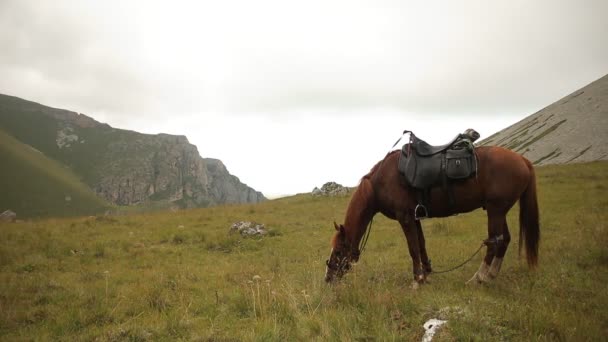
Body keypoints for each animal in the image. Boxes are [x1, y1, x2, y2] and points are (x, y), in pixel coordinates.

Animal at [326, 146, 540, 284]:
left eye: (338, 252)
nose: (328, 278)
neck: (380, 183)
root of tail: (523, 160)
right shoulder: (415, 217)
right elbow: (421, 245)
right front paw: (427, 273)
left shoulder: (405, 218)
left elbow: (412, 248)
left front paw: (417, 279)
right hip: (499, 211)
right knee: (504, 240)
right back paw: (491, 275)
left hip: (495, 211)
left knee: (494, 242)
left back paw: (479, 277)